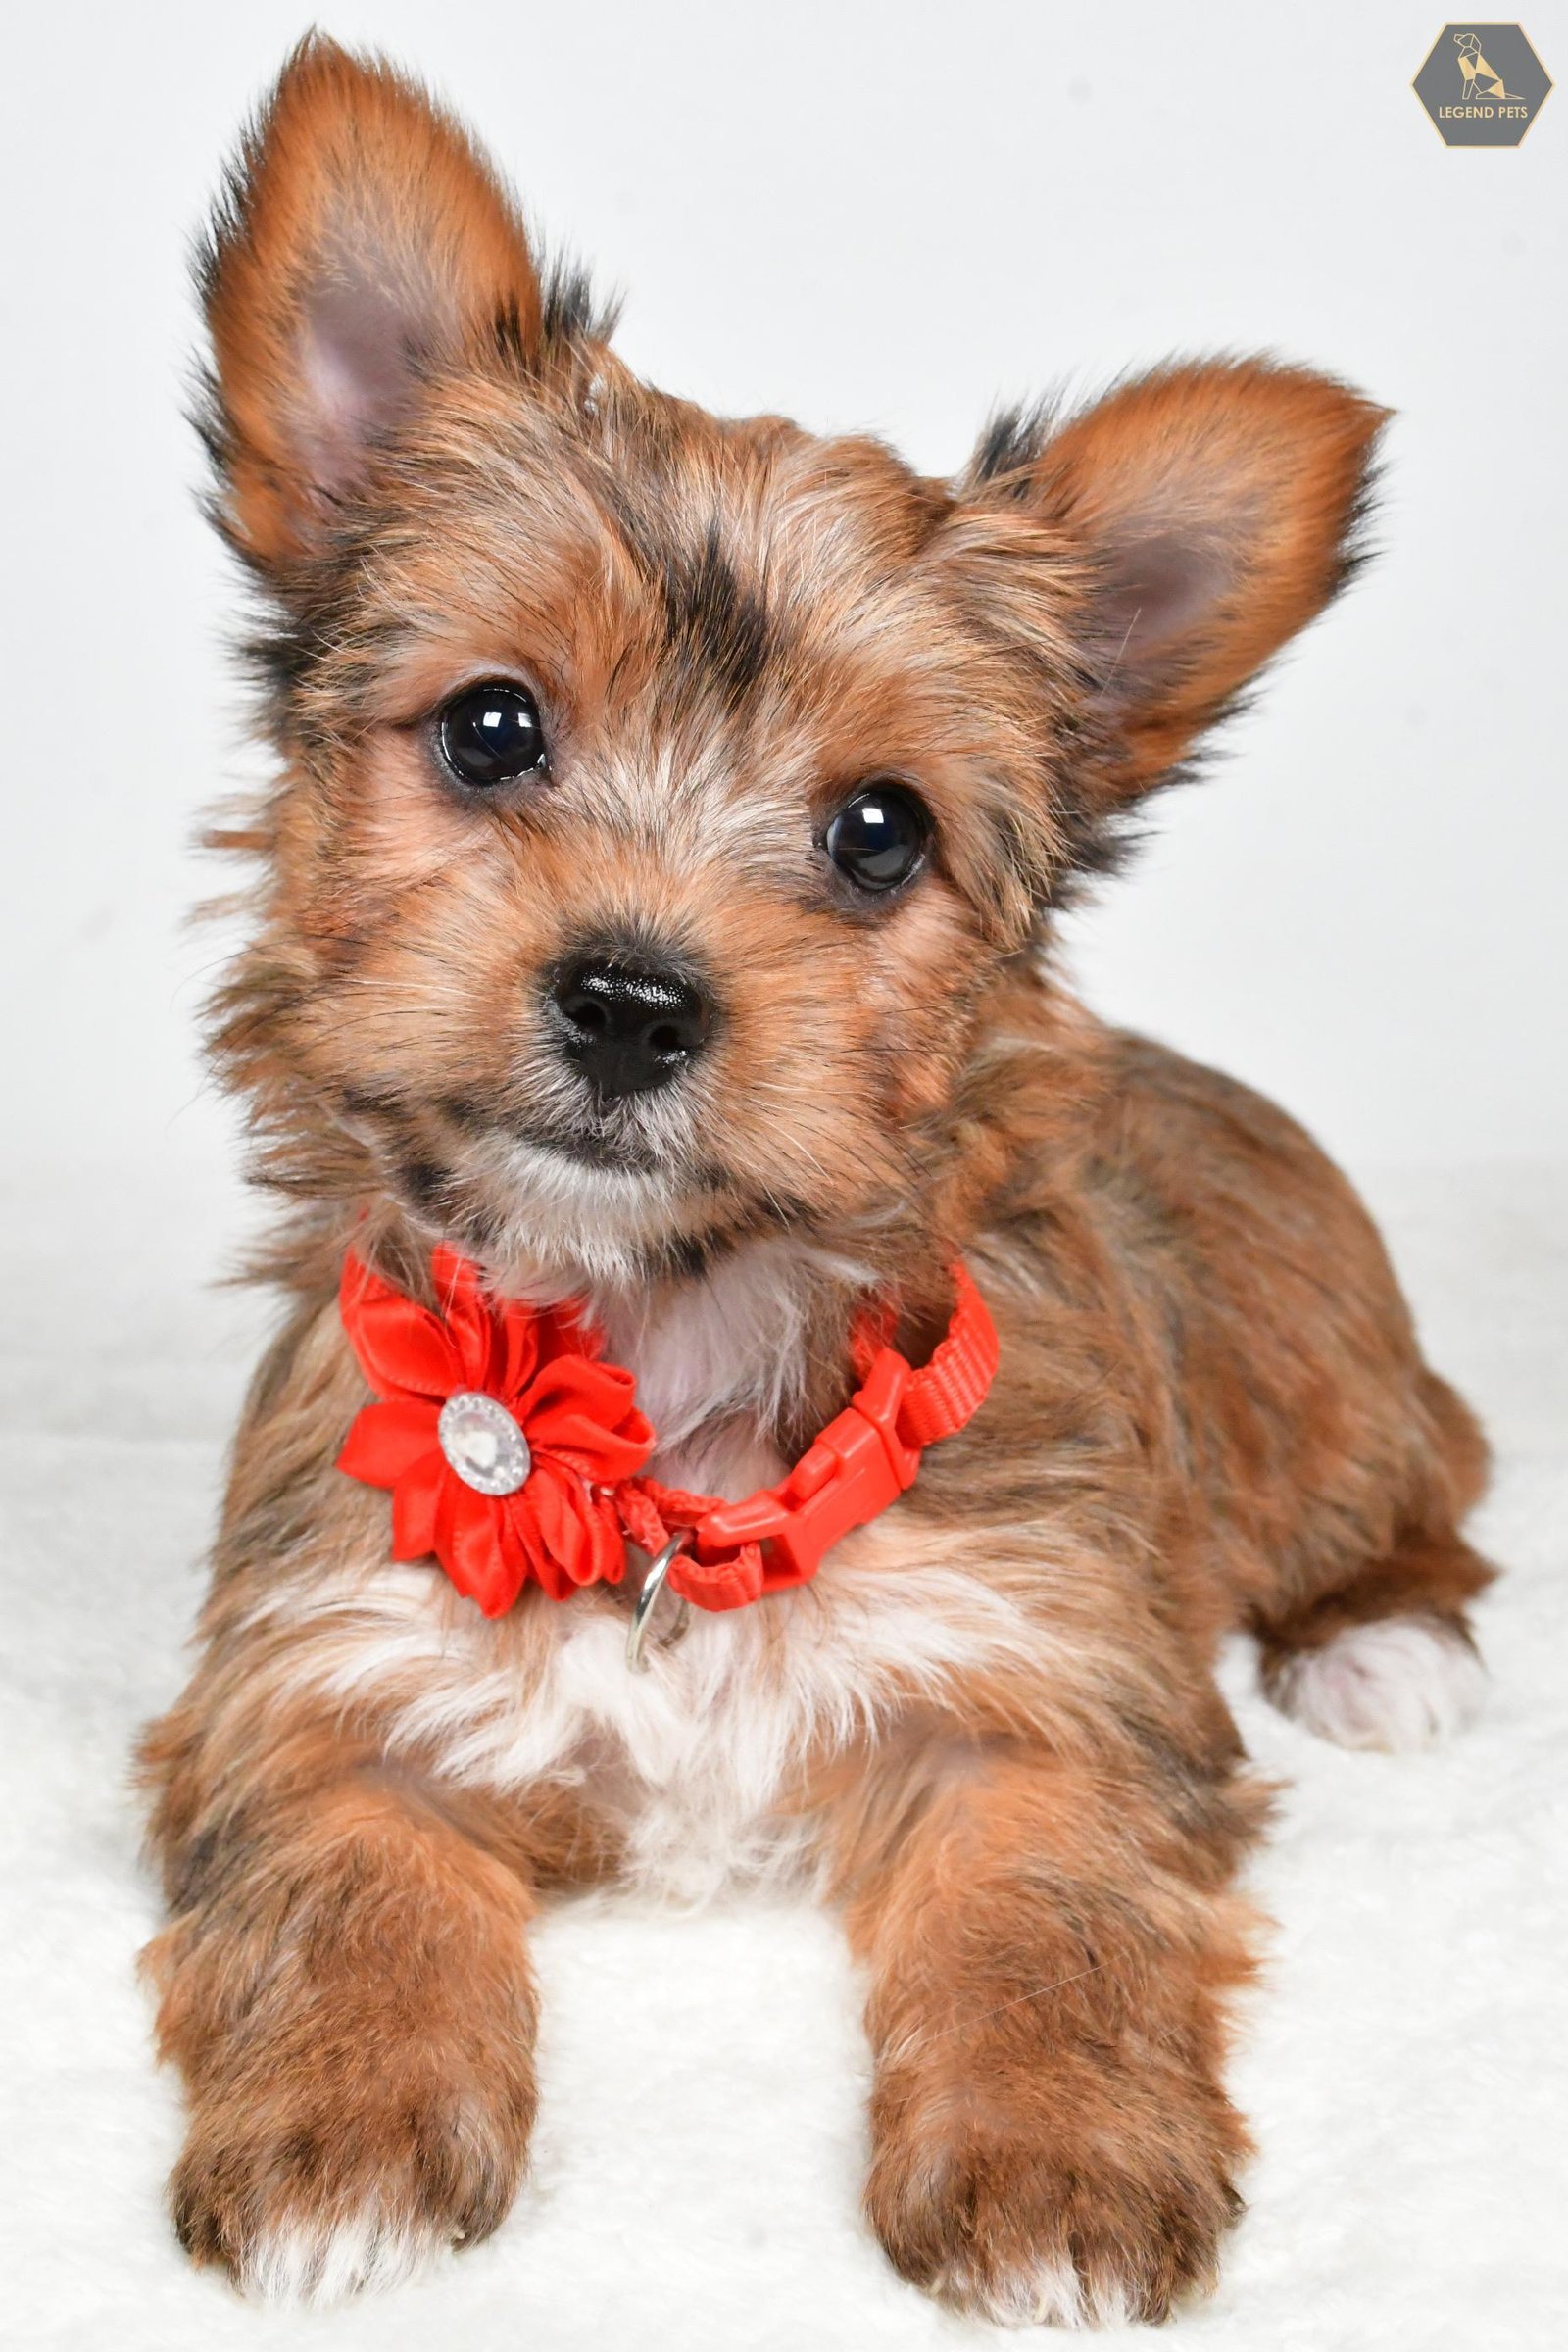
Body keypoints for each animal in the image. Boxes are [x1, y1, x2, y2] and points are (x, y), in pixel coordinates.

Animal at [138, 37, 1494, 2323]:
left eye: (879, 834)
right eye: (490, 729)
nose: (629, 998)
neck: (666, 1335)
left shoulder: (1043, 1691)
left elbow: (1048, 1910)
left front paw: (1052, 2168)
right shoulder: (320, 1671)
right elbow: (342, 1865)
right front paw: (341, 2133)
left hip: (1316, 1394)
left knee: (1412, 1498)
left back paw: (1388, 1649)